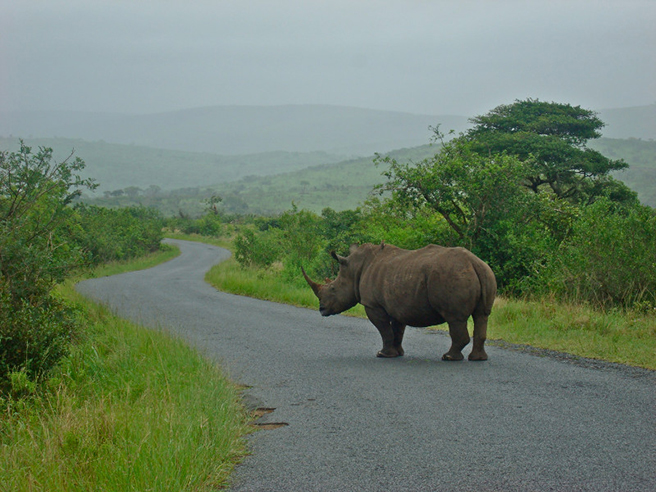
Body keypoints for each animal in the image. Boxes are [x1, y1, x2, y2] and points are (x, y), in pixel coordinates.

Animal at [302, 243, 498, 362]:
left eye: (333, 289)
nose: (321, 309)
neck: (355, 269)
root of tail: (473, 262)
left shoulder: (373, 304)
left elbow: (384, 330)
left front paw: (383, 354)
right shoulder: (398, 304)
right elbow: (397, 330)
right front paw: (397, 354)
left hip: (452, 275)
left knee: (454, 318)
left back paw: (448, 357)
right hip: (486, 273)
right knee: (482, 315)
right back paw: (478, 359)